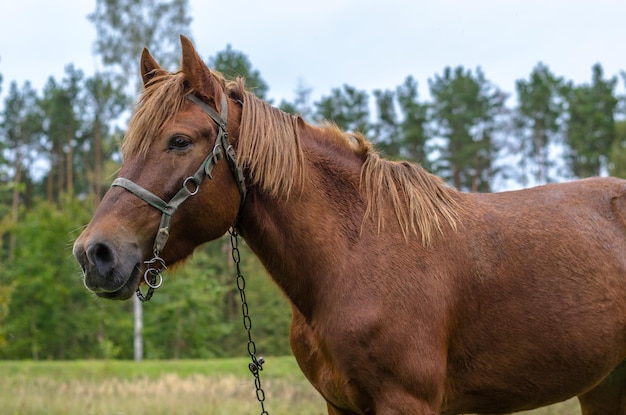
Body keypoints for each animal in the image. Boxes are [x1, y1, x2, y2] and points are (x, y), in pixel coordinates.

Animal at [70, 36, 624, 415]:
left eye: (180, 141)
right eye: (126, 146)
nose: (94, 253)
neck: (356, 255)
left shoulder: (407, 403)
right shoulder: (341, 405)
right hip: (604, 386)